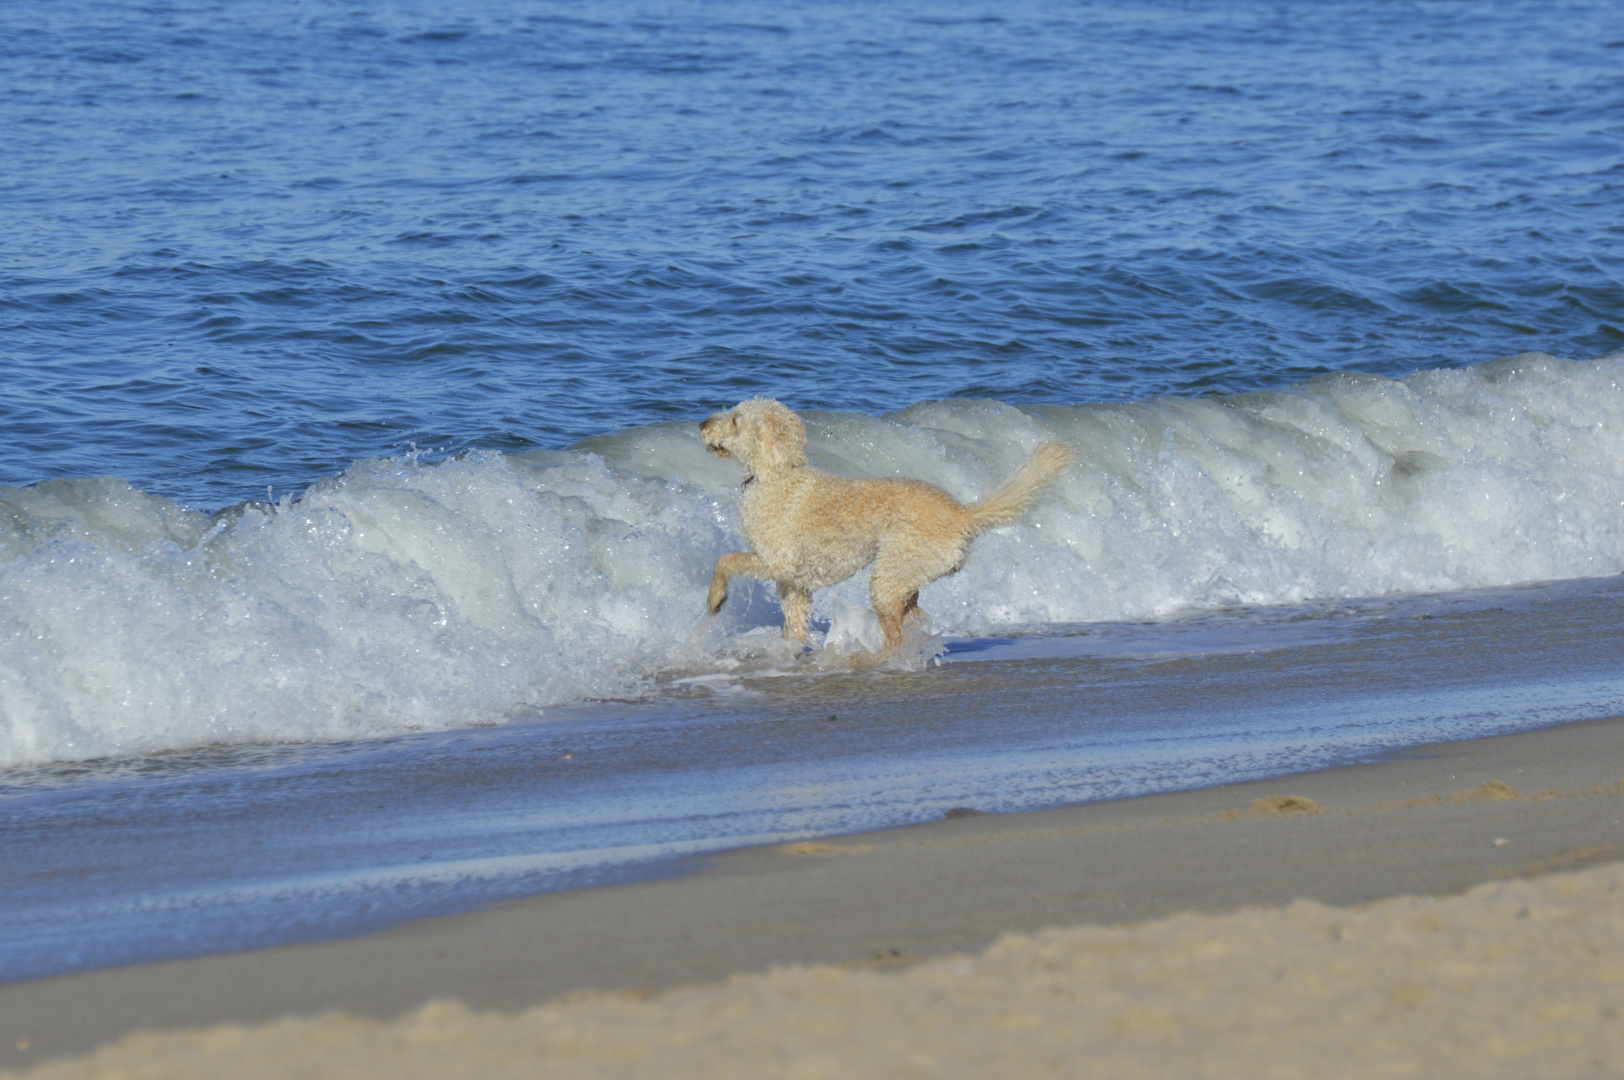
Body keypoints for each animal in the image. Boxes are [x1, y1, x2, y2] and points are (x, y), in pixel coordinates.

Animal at [695, 396, 1065, 649]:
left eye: (736, 419)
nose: (701, 423)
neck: (778, 475)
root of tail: (963, 513)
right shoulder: (793, 583)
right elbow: (794, 625)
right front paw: (789, 653)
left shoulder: (774, 561)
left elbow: (724, 561)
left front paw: (715, 600)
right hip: (906, 578)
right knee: (914, 618)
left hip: (887, 580)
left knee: (897, 635)